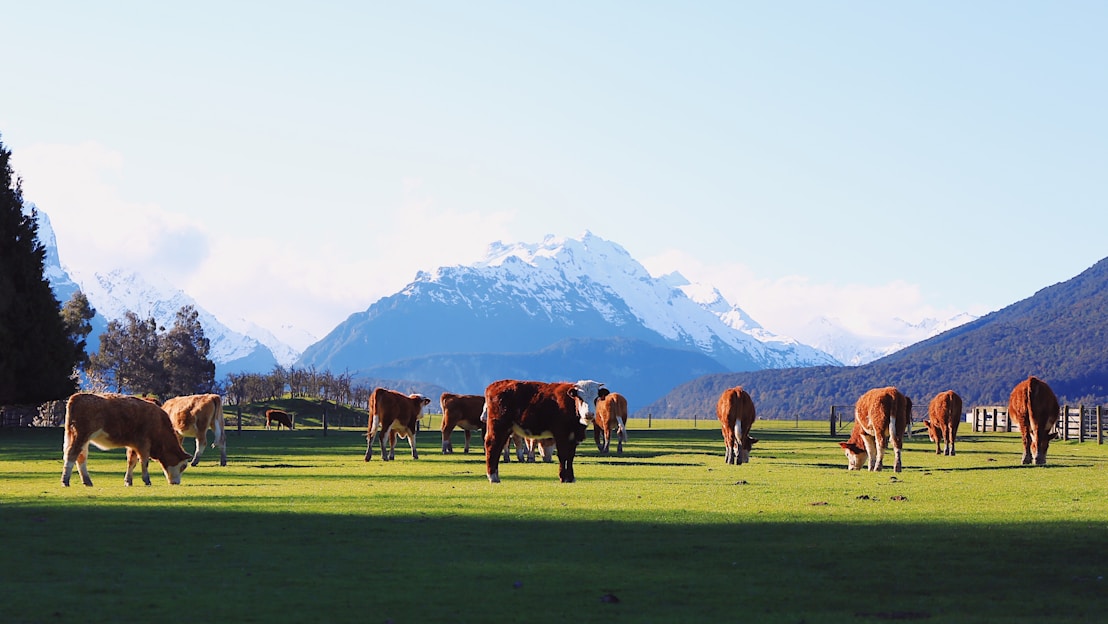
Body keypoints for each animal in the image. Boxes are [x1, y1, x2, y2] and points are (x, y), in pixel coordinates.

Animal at [61, 393, 191, 487]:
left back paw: (87, 481)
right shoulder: (144, 443)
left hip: (81, 439)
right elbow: (144, 461)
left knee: (81, 457)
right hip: (80, 436)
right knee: (72, 454)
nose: (177, 483)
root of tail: (77, 396)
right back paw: (65, 481)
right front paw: (147, 480)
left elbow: (131, 462)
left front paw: (128, 481)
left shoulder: (133, 445)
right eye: (183, 466)